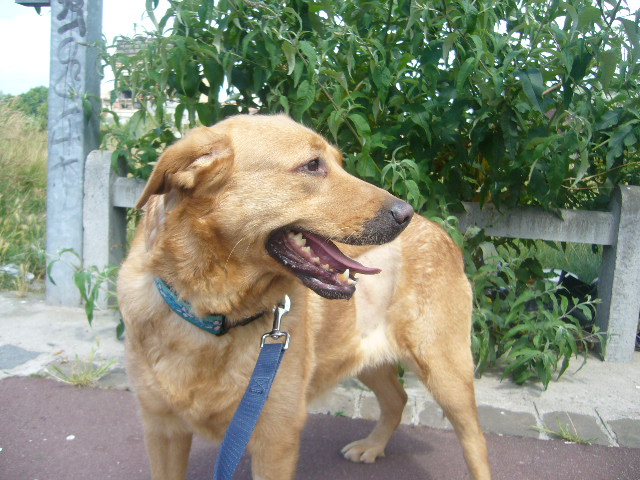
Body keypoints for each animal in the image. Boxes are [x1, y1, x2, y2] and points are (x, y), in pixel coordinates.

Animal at [119, 114, 490, 478]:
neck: (216, 318)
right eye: (313, 165)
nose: (405, 213)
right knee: (397, 399)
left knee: (476, 441)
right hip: (362, 354)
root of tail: (441, 230)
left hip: (446, 373)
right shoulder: (163, 431)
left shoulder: (275, 441)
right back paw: (372, 446)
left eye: (340, 163)